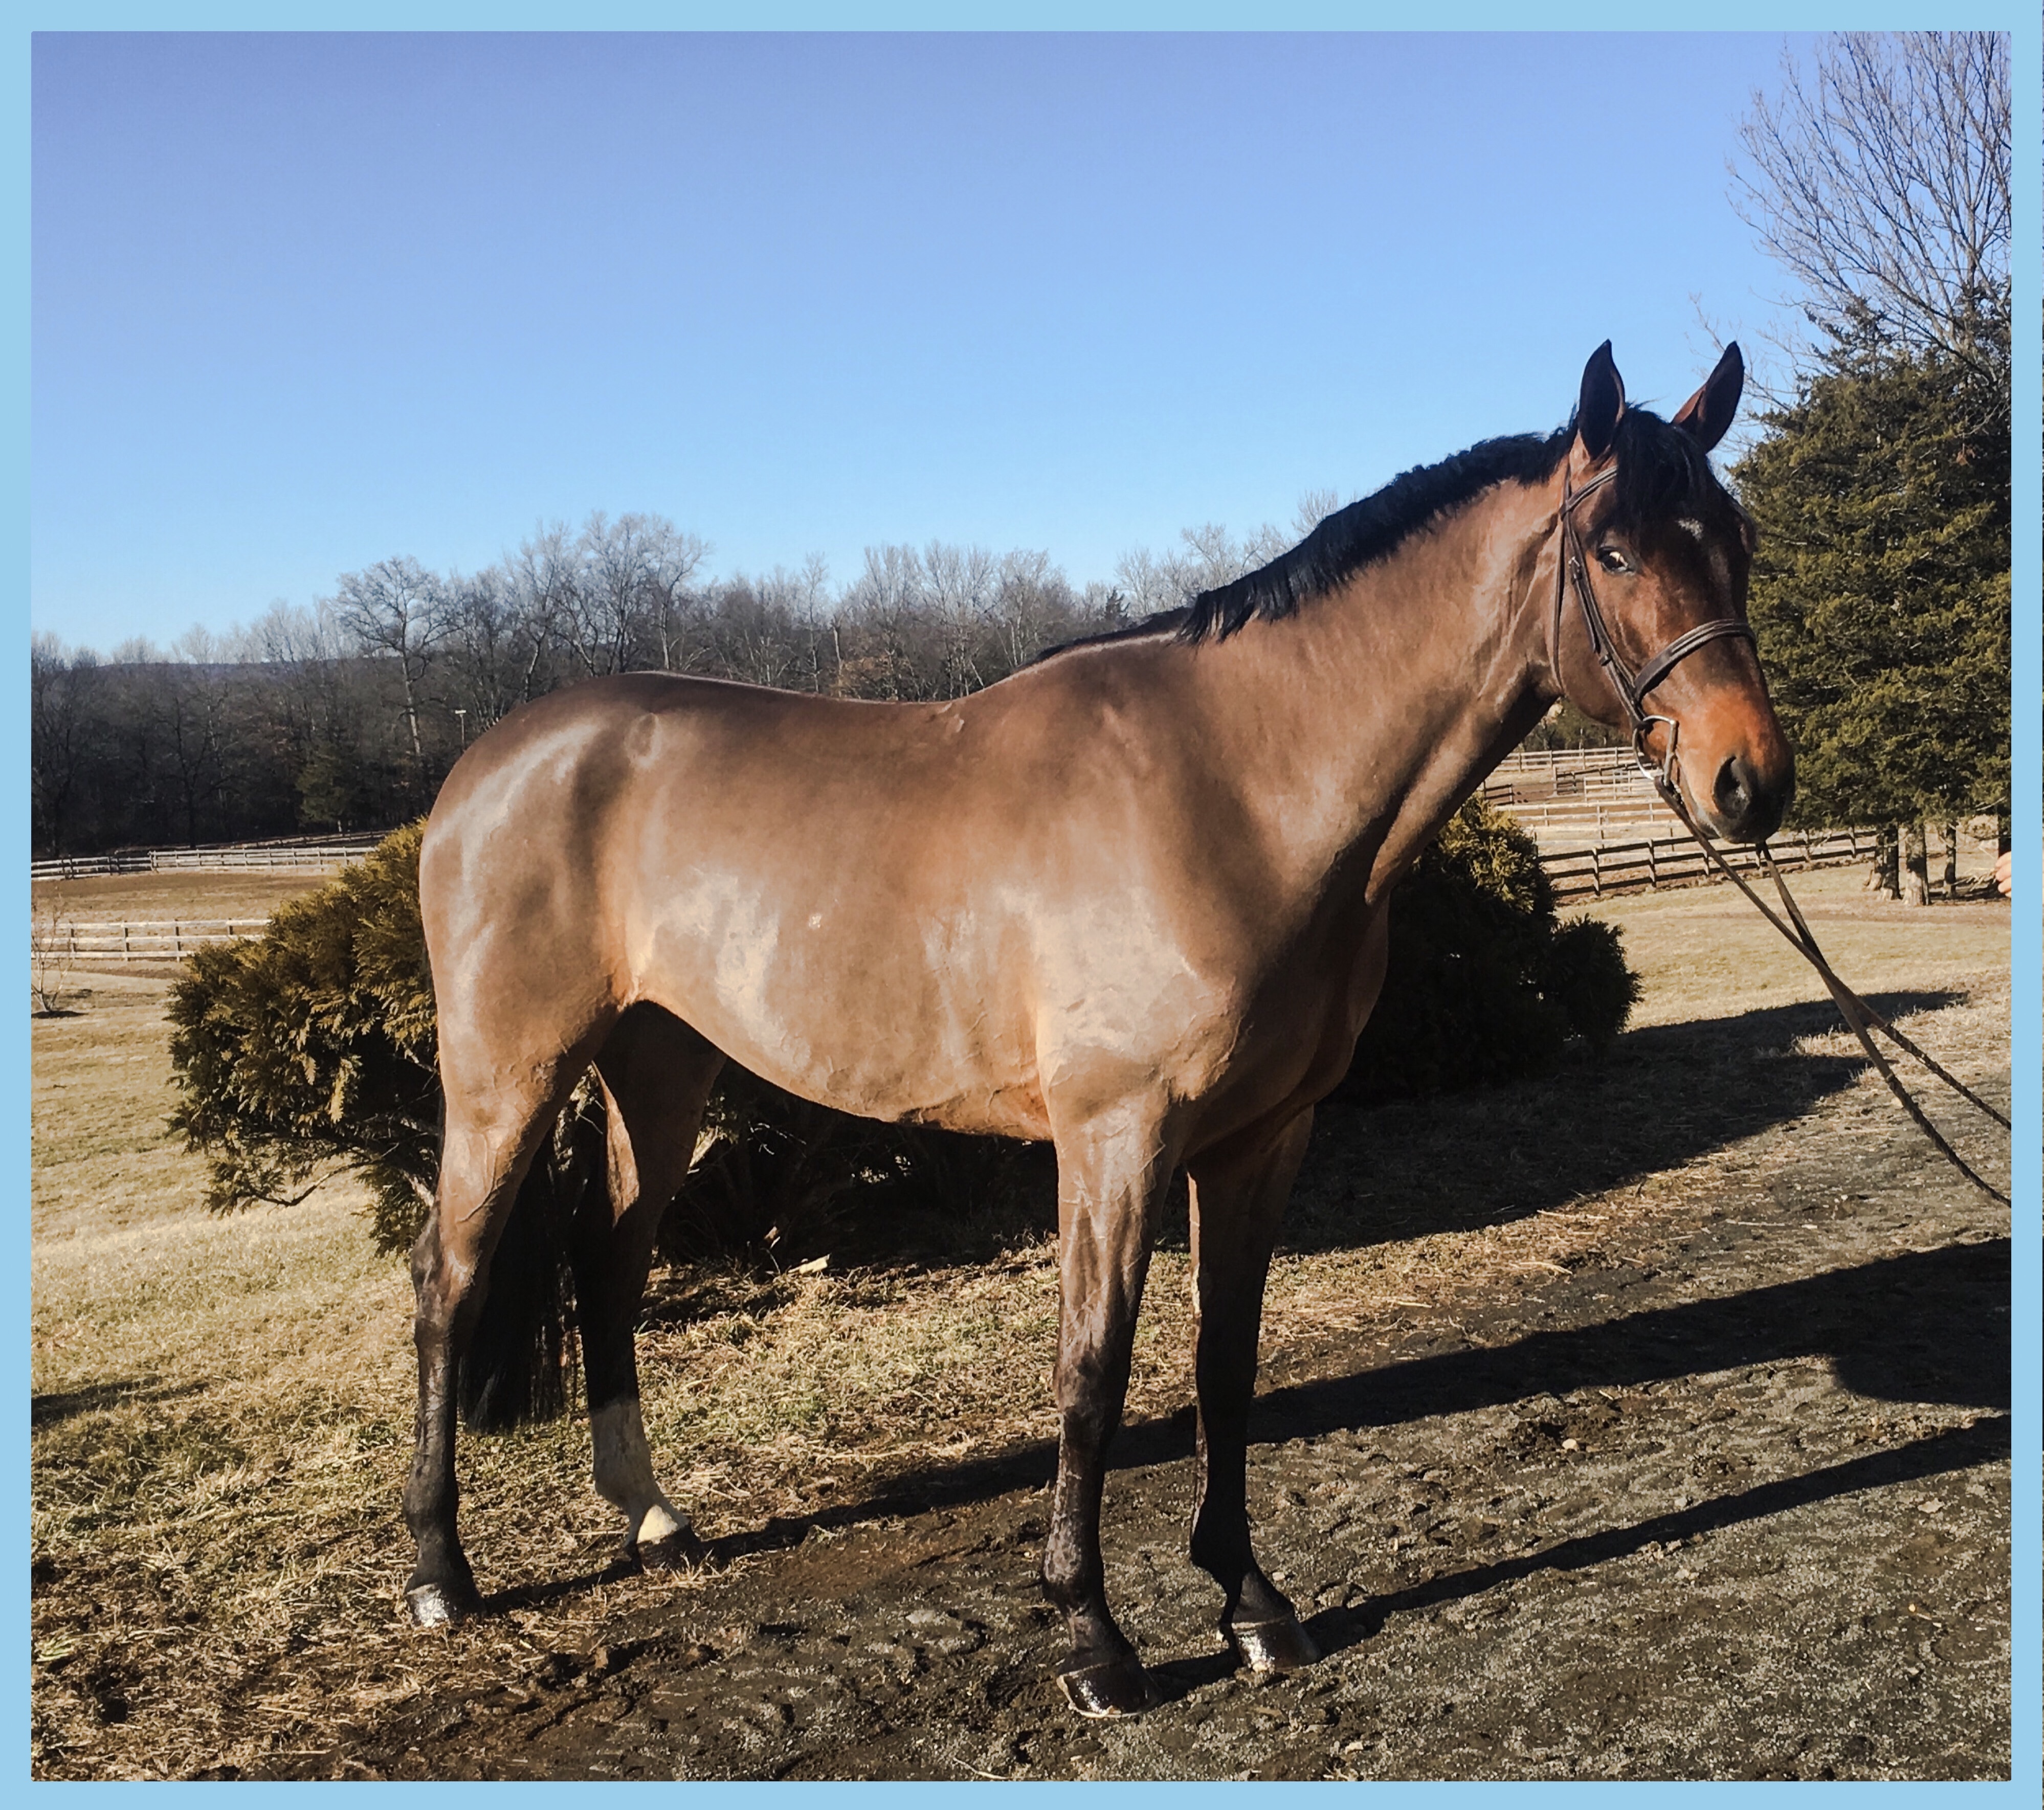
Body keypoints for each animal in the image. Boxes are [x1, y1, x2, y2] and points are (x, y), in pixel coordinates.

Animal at [402, 341, 1791, 1718]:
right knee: (449, 1277)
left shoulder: (1261, 1138)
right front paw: (1092, 1636)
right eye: (1611, 551)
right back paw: (439, 1573)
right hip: (508, 1077)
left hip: (659, 1068)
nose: (1749, 781)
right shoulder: (1116, 1134)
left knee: (605, 1262)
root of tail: (485, 763)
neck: (1237, 783)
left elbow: (1223, 1361)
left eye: (1733, 537)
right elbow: (1093, 1368)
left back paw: (651, 1518)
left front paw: (1251, 1603)